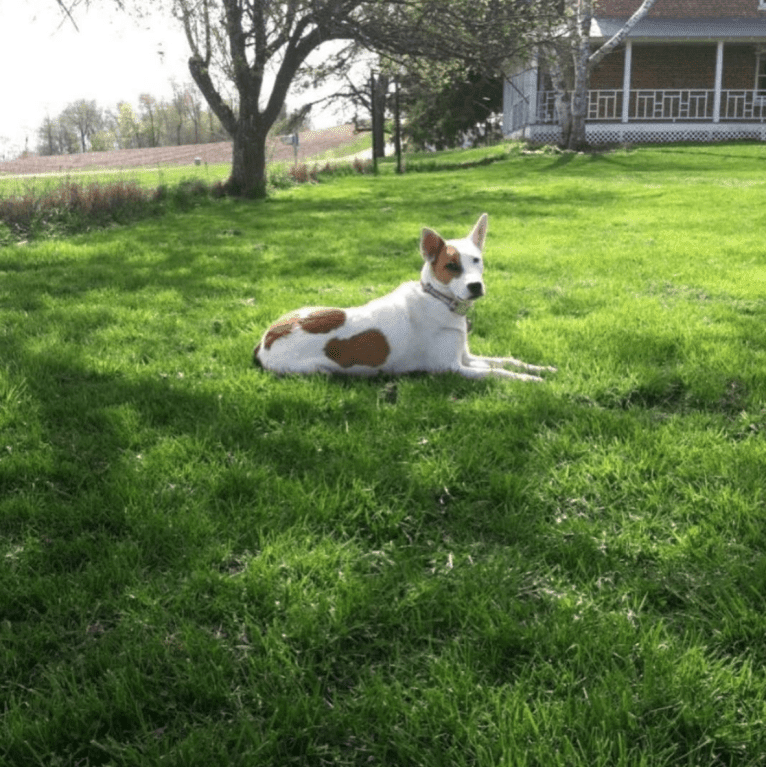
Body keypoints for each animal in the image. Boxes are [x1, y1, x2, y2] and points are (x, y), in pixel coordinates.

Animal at [255, 213, 556, 380]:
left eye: (476, 260)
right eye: (451, 266)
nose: (475, 286)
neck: (439, 300)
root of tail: (265, 340)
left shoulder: (466, 357)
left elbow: (506, 361)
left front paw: (541, 369)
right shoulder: (451, 368)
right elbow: (498, 372)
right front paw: (530, 381)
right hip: (319, 371)